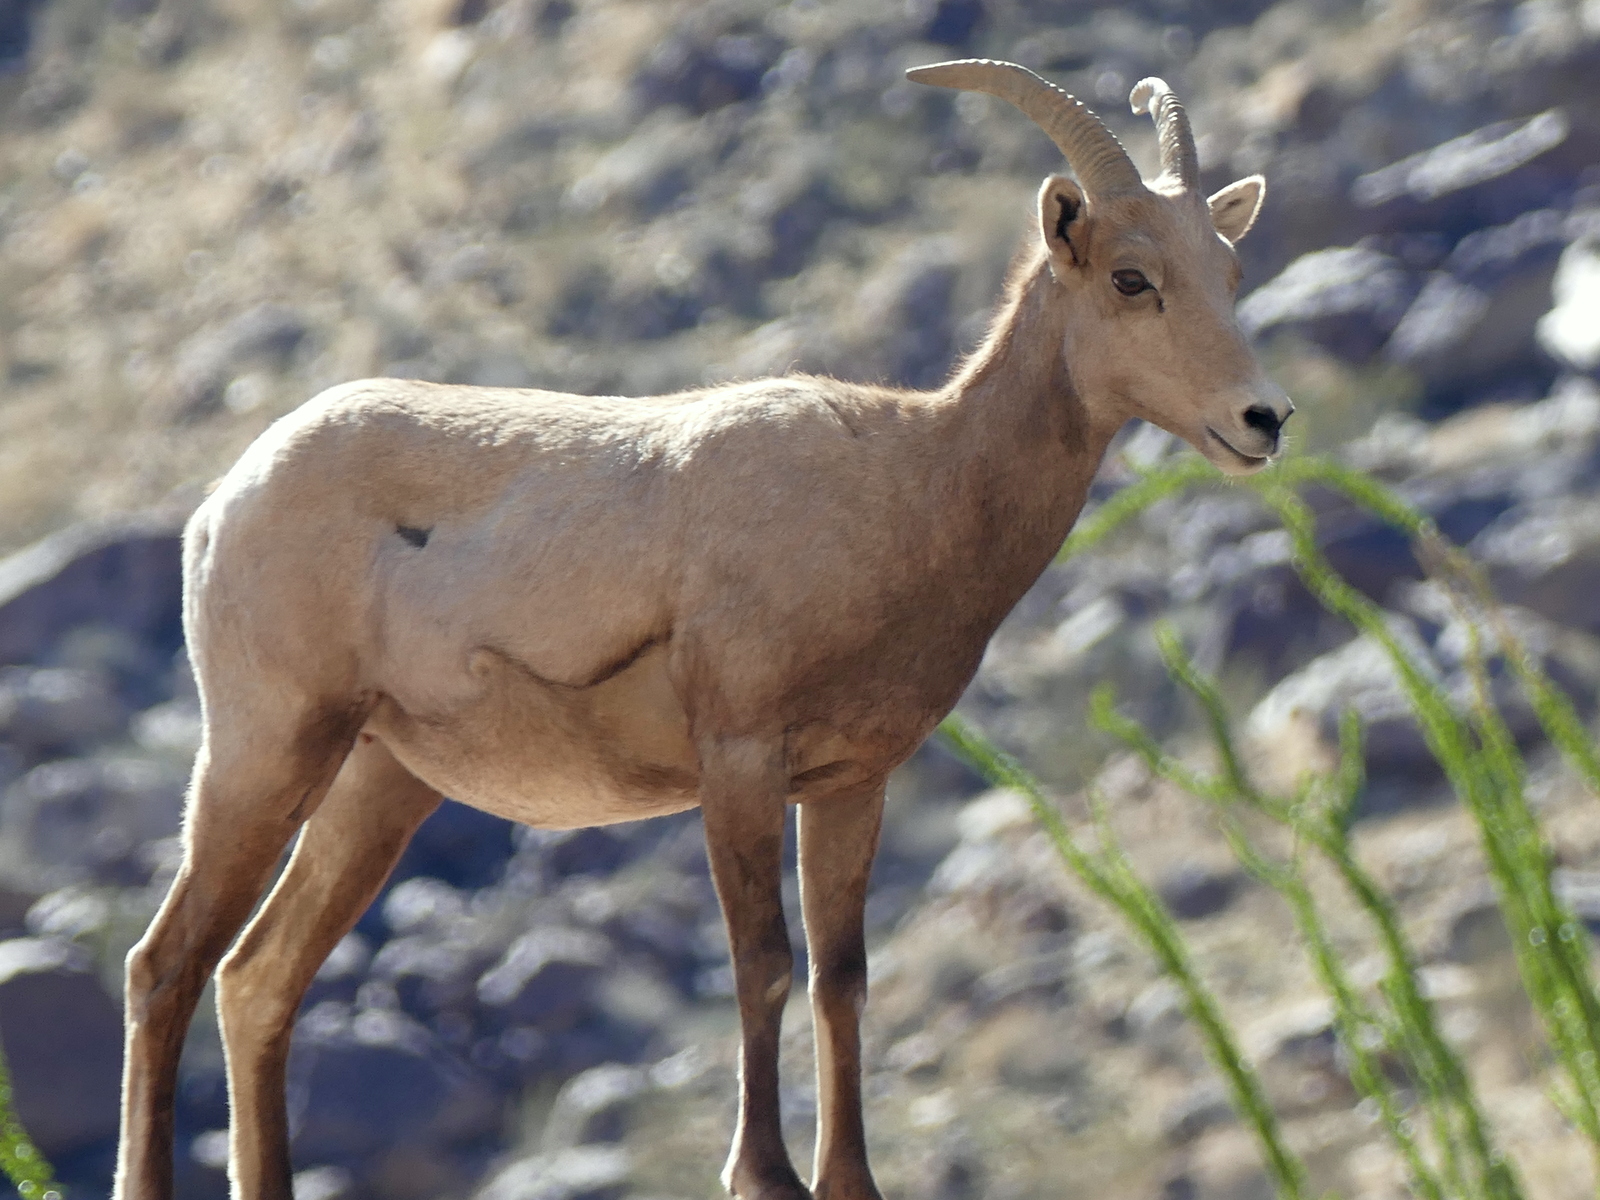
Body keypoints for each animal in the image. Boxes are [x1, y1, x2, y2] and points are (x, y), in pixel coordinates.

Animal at [112, 61, 1286, 1200]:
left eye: (1229, 271)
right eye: (1131, 277)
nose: (1261, 420)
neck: (908, 485)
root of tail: (226, 502)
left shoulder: (851, 783)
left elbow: (842, 976)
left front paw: (847, 1178)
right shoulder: (739, 760)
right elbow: (760, 962)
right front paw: (764, 1173)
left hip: (375, 785)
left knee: (258, 977)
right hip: (268, 750)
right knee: (167, 964)